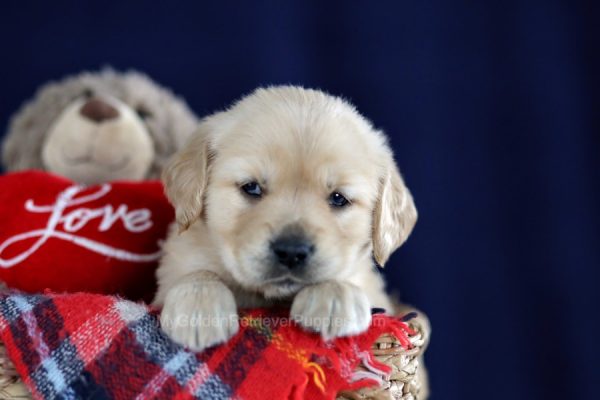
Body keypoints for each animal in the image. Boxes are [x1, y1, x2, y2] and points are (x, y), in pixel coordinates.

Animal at [154, 85, 418, 350]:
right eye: (251, 187)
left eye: (338, 198)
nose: (292, 252)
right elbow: (198, 272)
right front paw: (198, 307)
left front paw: (335, 297)